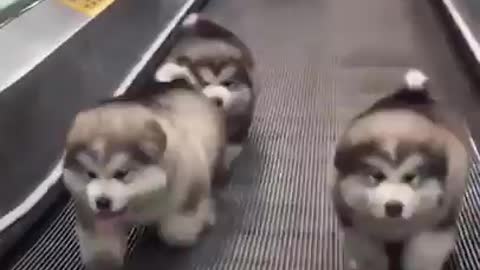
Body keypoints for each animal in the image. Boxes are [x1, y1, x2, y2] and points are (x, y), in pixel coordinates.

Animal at [62, 80, 227, 270]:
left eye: (122, 173)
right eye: (90, 174)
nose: (102, 202)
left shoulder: (190, 190)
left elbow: (176, 232)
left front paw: (202, 221)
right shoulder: (89, 213)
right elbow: (101, 246)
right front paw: (103, 261)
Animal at [332, 69, 470, 270]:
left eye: (410, 177)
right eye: (376, 176)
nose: (394, 207)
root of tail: (413, 95)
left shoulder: (433, 231)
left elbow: (422, 257)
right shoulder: (360, 232)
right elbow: (371, 258)